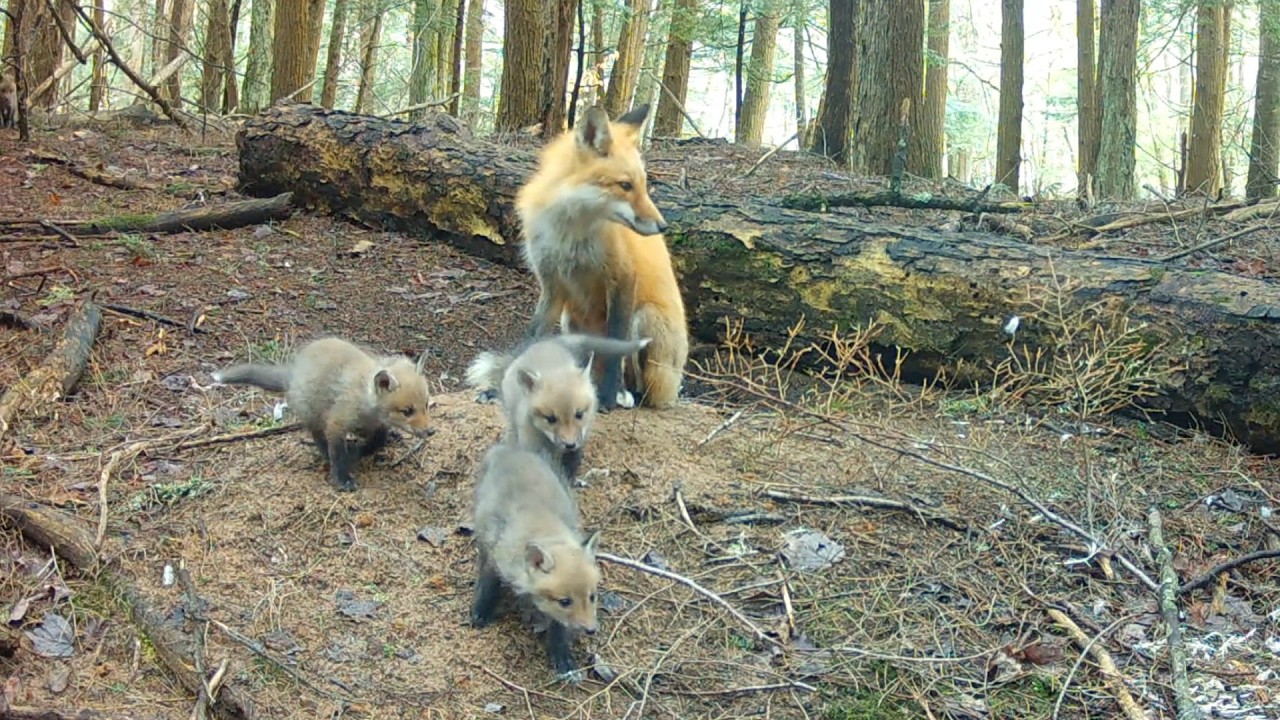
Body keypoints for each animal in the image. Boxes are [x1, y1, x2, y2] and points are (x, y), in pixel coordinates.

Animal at [211, 337, 432, 491]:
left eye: (426, 405)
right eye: (407, 411)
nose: (431, 432)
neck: (366, 401)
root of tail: (294, 371)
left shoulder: (377, 425)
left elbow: (377, 442)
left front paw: (359, 450)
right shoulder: (336, 422)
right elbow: (338, 453)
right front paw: (343, 478)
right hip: (312, 413)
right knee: (317, 437)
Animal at [465, 333, 651, 484]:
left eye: (579, 414)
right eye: (550, 418)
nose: (569, 444)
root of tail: (549, 342)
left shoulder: (579, 441)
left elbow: (570, 466)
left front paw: (571, 482)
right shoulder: (531, 444)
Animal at [470, 443, 601, 679]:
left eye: (592, 597)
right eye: (565, 601)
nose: (591, 630)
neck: (543, 528)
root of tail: (510, 449)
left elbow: (559, 628)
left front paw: (562, 657)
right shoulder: (496, 558)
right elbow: (487, 585)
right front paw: (481, 612)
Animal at [515, 103, 690, 412]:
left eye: (644, 185)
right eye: (625, 185)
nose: (663, 227)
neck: (571, 233)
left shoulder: (623, 277)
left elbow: (615, 343)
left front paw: (610, 395)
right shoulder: (552, 285)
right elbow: (530, 338)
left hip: (644, 318)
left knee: (647, 392)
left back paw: (627, 395)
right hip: (571, 321)